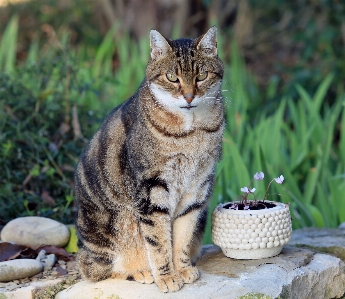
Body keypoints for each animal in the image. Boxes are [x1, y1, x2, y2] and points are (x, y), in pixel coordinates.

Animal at [75, 25, 224, 292]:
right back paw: (142, 271)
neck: (191, 131)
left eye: (202, 76)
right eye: (172, 77)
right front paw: (166, 276)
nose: (188, 97)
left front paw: (182, 269)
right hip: (111, 232)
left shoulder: (197, 188)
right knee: (94, 268)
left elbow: (183, 236)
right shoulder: (151, 190)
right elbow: (159, 241)